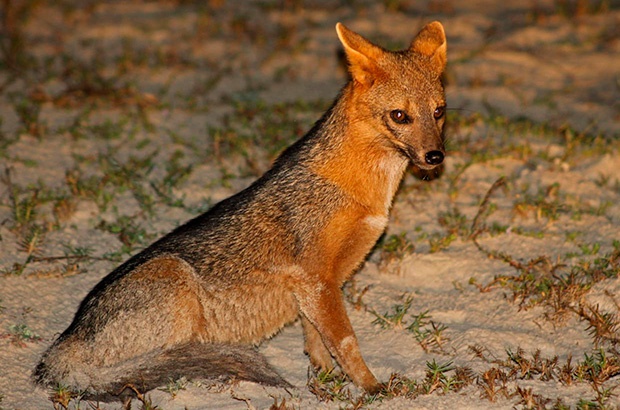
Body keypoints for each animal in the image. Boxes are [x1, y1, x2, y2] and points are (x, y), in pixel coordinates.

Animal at [32, 20, 446, 402]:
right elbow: (344, 340)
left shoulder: (321, 282)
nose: (435, 157)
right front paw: (370, 386)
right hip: (173, 276)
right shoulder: (316, 278)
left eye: (439, 112)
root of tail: (62, 345)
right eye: (399, 116)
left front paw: (325, 377)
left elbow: (316, 337)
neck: (365, 188)